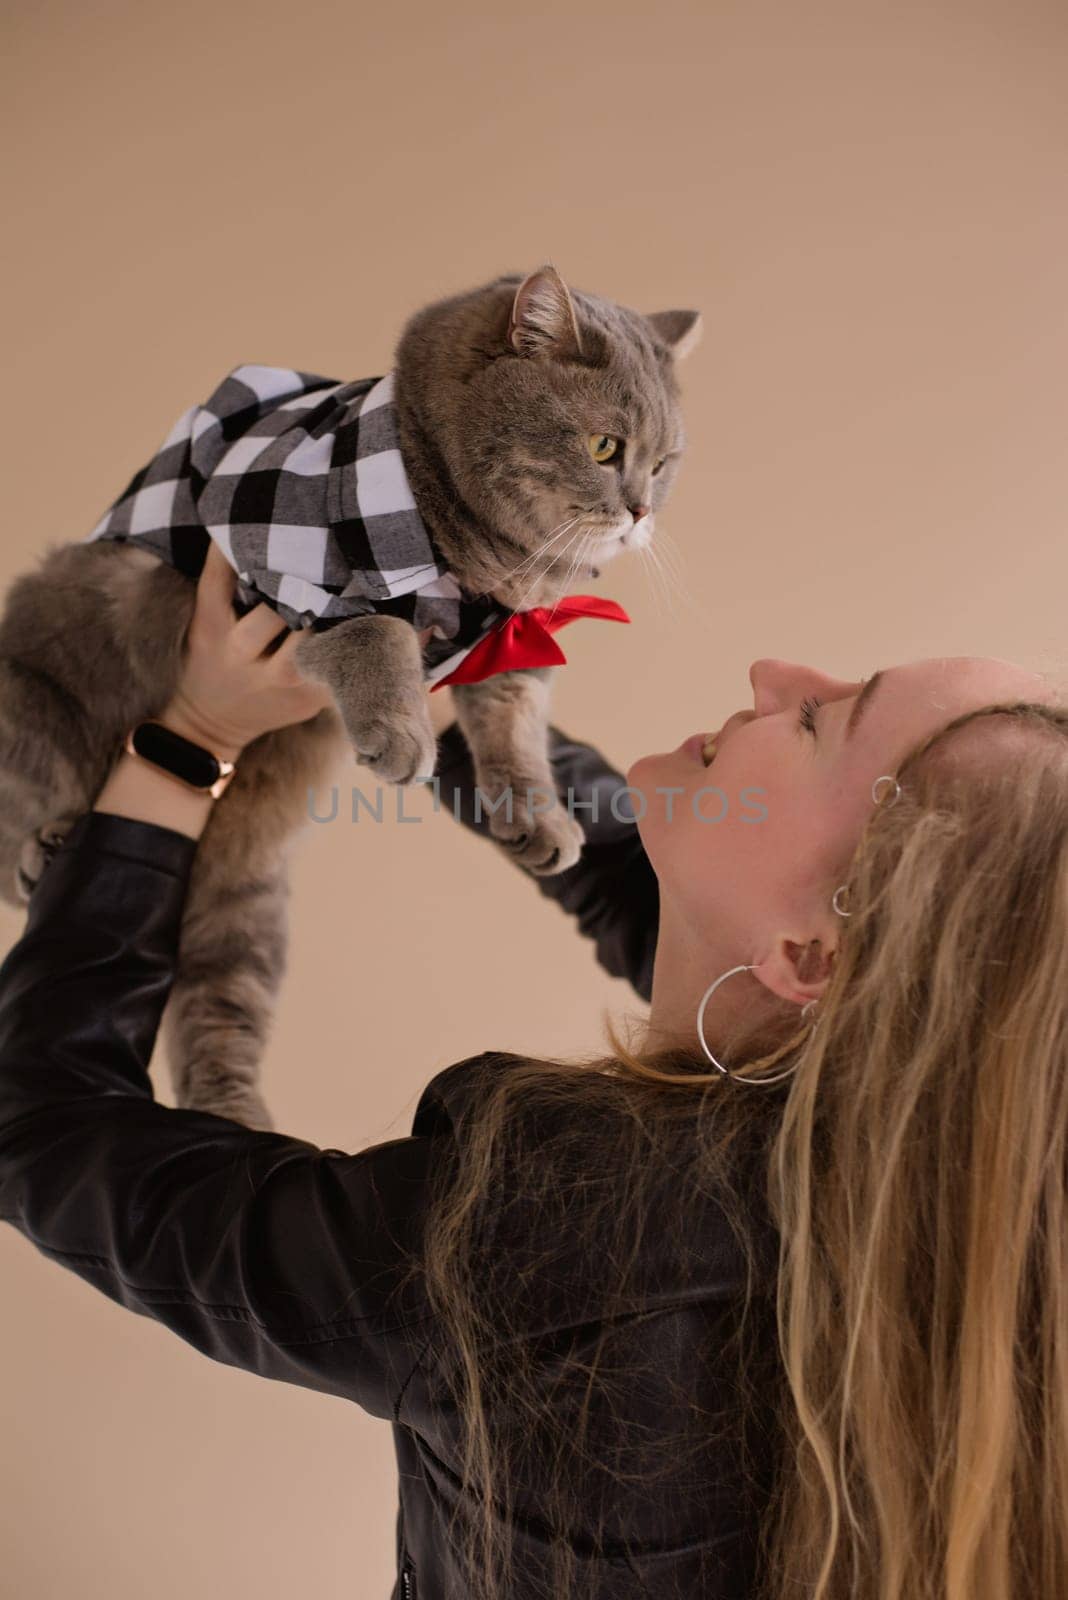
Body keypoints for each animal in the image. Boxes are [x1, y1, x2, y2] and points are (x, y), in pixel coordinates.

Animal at [0, 265, 700, 1126]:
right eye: (606, 447)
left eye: (665, 462)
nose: (640, 510)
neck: (479, 564)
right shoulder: (296, 576)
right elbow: (376, 634)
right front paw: (400, 734)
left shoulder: (505, 641)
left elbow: (515, 729)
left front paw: (537, 819)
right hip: (47, 680)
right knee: (26, 808)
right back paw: (45, 846)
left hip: (249, 899)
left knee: (218, 1006)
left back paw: (231, 1117)